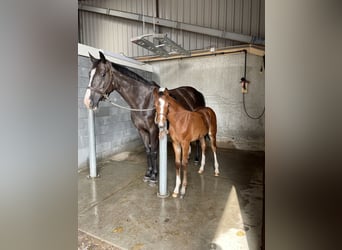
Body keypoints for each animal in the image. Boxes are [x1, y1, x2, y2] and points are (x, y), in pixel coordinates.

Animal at [83, 51, 206, 184]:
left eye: (103, 74)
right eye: (89, 74)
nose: (87, 101)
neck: (144, 101)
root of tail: (196, 92)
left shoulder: (153, 130)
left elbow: (154, 151)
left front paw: (154, 176)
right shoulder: (141, 130)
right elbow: (148, 151)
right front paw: (148, 173)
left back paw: (197, 159)